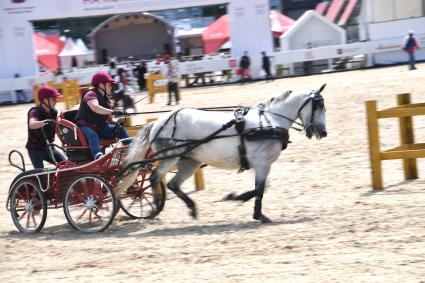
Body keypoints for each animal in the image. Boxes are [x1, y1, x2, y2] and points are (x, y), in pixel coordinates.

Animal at [117, 84, 326, 224]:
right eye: (318, 107)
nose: (323, 132)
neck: (269, 122)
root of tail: (158, 122)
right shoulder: (262, 164)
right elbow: (260, 190)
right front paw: (249, 207)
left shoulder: (262, 165)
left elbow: (262, 189)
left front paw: (241, 201)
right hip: (171, 156)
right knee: (154, 178)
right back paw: (154, 205)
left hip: (189, 161)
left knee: (172, 184)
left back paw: (191, 209)